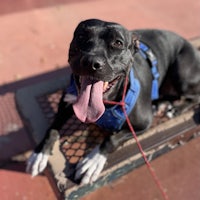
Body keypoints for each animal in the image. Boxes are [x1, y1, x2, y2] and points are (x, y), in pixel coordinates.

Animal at [26, 18, 200, 184]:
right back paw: (160, 103)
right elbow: (52, 129)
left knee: (194, 96)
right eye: (81, 36)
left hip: (181, 73)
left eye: (118, 43)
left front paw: (93, 160)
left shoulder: (142, 125)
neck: (107, 103)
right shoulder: (66, 102)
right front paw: (40, 153)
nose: (90, 62)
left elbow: (112, 138)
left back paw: (175, 108)